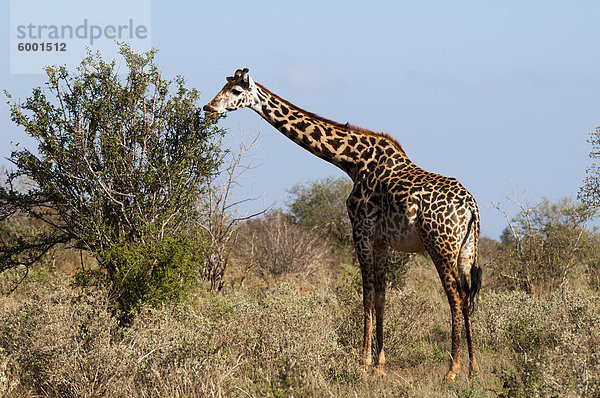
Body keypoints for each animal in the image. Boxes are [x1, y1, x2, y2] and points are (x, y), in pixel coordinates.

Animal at [204, 68, 486, 382]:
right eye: (224, 86)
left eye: (236, 91)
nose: (209, 107)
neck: (352, 161)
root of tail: (471, 206)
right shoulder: (381, 240)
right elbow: (381, 297)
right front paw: (380, 363)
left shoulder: (360, 230)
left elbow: (366, 296)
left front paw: (363, 363)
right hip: (466, 249)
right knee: (468, 296)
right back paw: (473, 367)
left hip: (440, 245)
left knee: (456, 297)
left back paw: (452, 369)